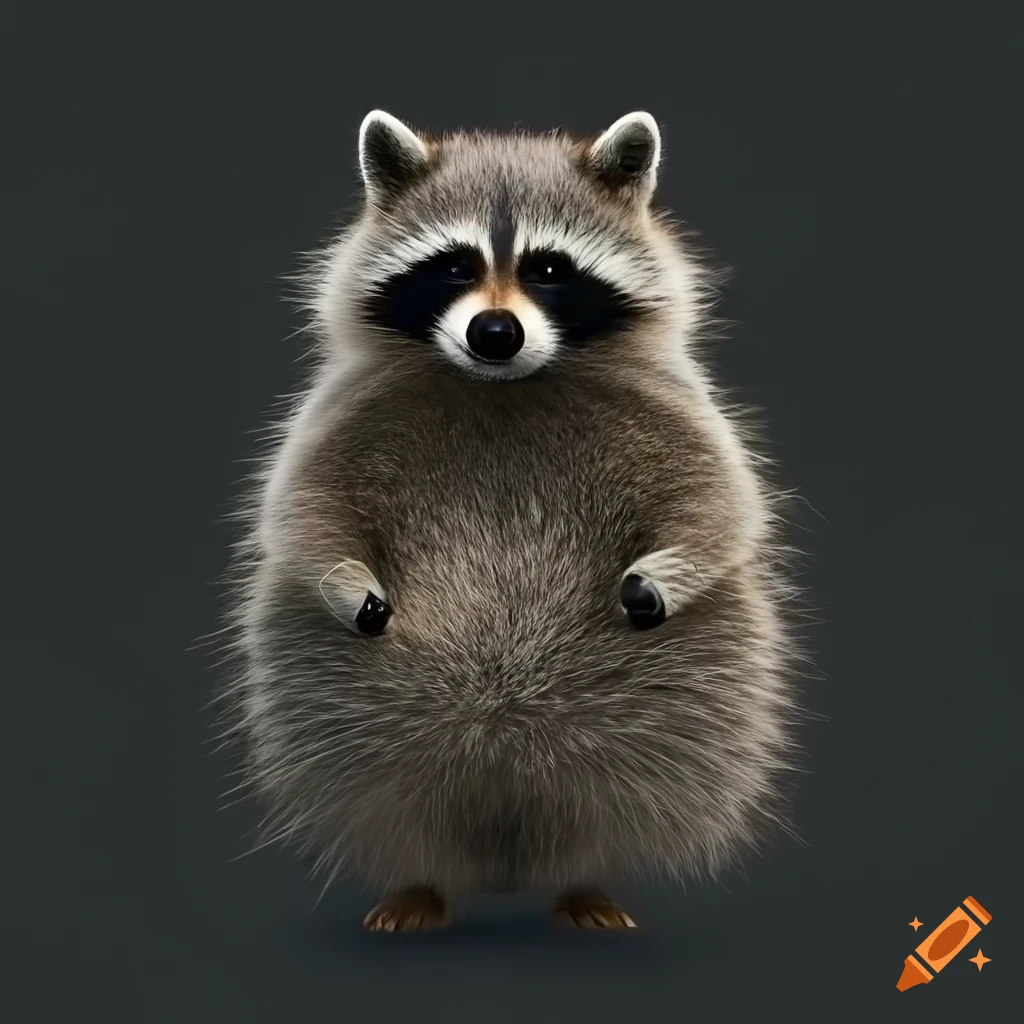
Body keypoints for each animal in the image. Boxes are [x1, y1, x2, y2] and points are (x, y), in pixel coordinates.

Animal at [219, 110, 801, 931]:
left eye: (549, 269)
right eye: (454, 267)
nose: (494, 332)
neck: (501, 383)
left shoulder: (676, 403)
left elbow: (719, 502)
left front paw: (663, 573)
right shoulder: (341, 410)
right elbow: (301, 511)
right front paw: (343, 580)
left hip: (701, 680)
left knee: (650, 769)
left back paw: (584, 879)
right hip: (320, 689)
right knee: (370, 782)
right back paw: (419, 879)